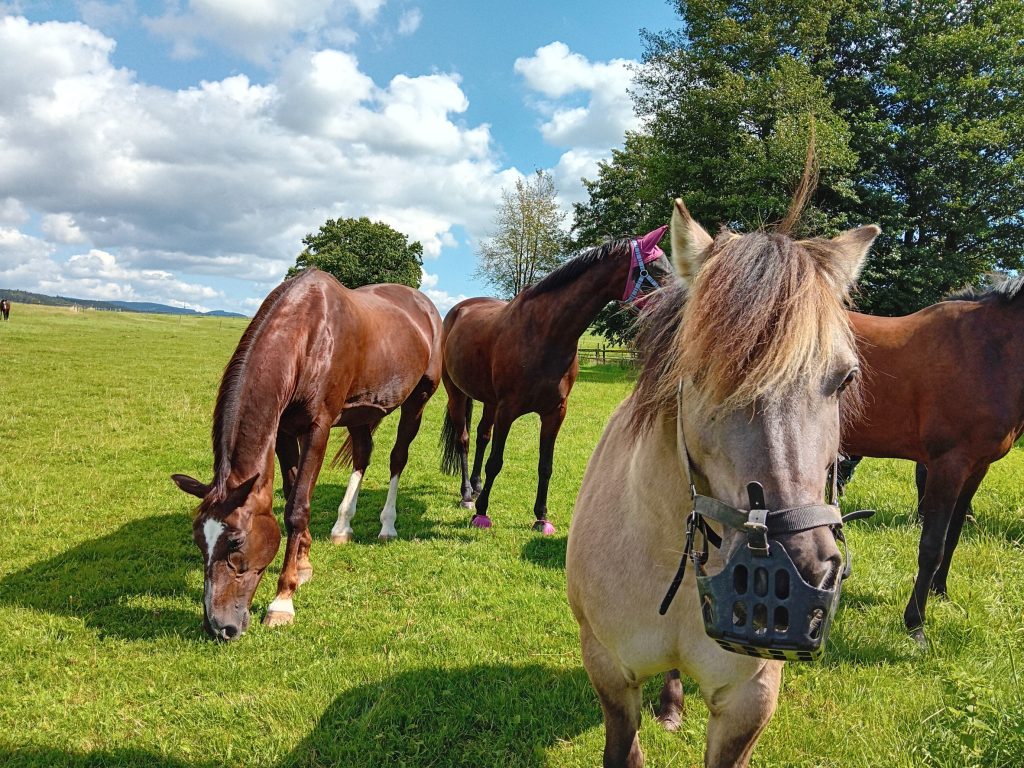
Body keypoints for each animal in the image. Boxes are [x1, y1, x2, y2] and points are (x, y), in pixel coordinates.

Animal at [171, 270, 440, 643]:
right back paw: (342, 526)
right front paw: (304, 562)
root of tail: (425, 306)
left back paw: (388, 525)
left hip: (418, 401)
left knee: (397, 459)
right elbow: (291, 490)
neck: (307, 336)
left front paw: (283, 600)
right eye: (199, 539)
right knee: (362, 457)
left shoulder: (318, 428)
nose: (218, 626)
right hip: (360, 413)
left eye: (236, 540)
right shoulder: (284, 429)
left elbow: (297, 509)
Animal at [438, 225, 671, 532]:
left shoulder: (555, 412)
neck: (546, 333)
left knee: (482, 435)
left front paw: (541, 516)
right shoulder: (508, 410)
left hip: (489, 402)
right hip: (457, 393)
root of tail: (458, 310)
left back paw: (476, 487)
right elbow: (496, 461)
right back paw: (467, 494)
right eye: (656, 269)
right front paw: (482, 513)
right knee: (463, 439)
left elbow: (545, 465)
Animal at [839, 280, 1024, 647]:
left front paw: (942, 594)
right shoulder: (947, 465)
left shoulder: (976, 467)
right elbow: (931, 545)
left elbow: (953, 534)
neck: (991, 352)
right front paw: (916, 625)